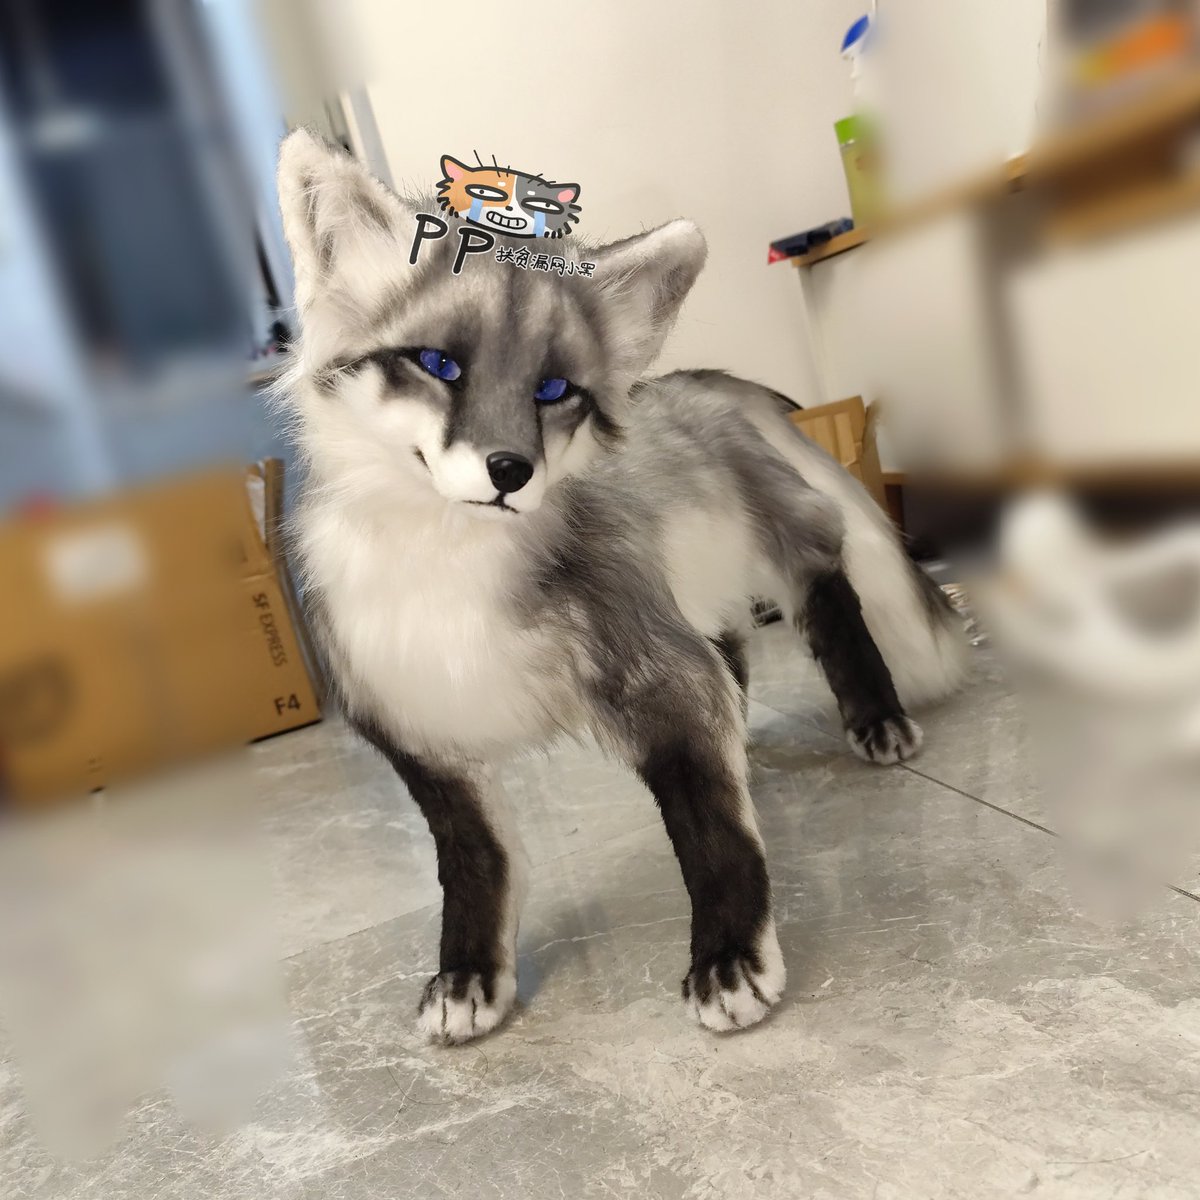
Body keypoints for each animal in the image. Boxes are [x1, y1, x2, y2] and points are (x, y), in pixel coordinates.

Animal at [274, 130, 969, 1044]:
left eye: (552, 390)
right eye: (437, 365)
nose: (510, 470)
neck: (448, 580)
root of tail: (696, 380)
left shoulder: (659, 673)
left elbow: (712, 838)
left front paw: (730, 958)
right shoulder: (421, 735)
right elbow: (476, 870)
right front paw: (470, 974)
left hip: (776, 552)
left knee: (827, 595)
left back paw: (875, 717)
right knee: (733, 649)